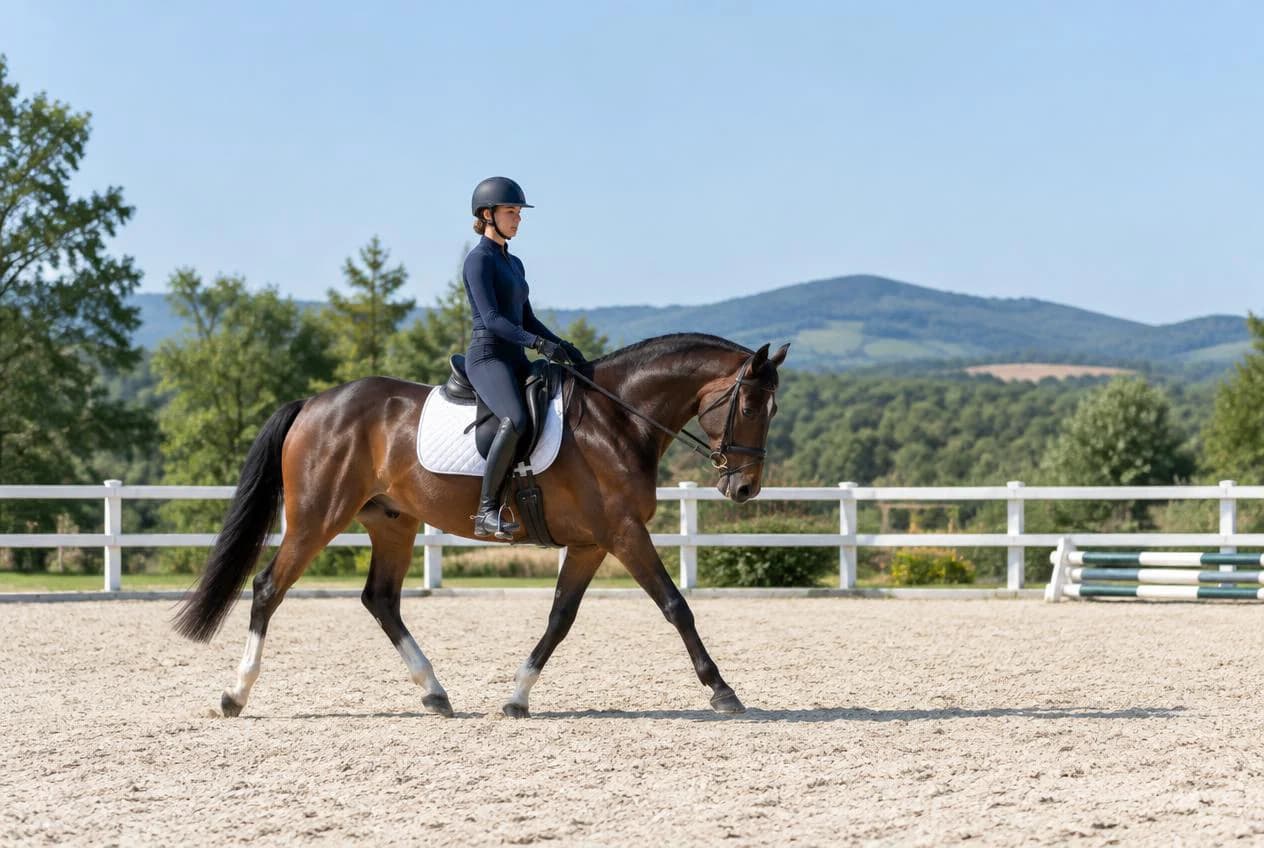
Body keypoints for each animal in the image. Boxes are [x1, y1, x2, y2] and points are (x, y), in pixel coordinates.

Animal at [174, 332, 789, 718]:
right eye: (750, 407)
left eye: (773, 410)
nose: (744, 489)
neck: (616, 417)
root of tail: (314, 404)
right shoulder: (623, 533)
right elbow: (675, 605)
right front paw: (722, 690)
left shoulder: (591, 543)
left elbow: (560, 618)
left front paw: (517, 697)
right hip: (317, 516)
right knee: (268, 588)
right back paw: (234, 695)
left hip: (393, 522)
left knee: (381, 600)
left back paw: (435, 693)